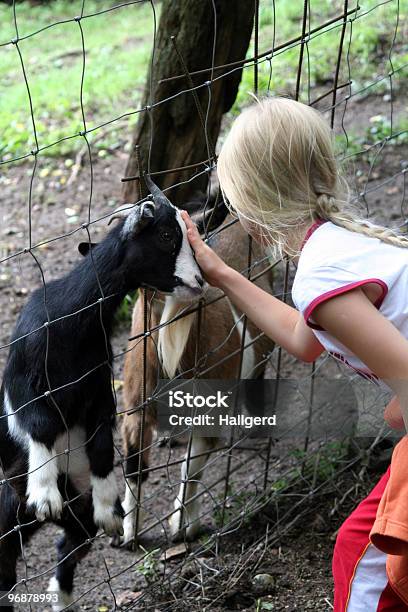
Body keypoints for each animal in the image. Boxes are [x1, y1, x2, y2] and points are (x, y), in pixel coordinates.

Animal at [0, 176, 203, 608]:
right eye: (166, 236)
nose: (199, 281)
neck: (74, 318)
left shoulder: (97, 390)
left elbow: (101, 445)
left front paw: (111, 508)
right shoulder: (25, 380)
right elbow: (40, 423)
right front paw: (43, 493)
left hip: (73, 512)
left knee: (68, 544)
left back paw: (62, 596)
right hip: (8, 506)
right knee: (5, 557)